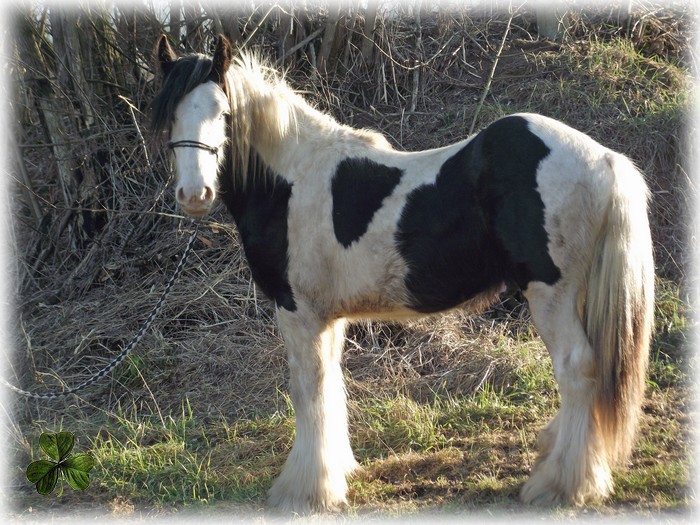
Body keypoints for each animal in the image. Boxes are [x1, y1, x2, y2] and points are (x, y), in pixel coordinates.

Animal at [150, 33, 652, 512]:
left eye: (223, 112)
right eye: (171, 116)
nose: (194, 195)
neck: (291, 180)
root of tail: (605, 160)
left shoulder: (299, 312)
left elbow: (308, 391)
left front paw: (304, 491)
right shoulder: (327, 318)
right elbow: (331, 384)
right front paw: (337, 473)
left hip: (551, 293)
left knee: (577, 368)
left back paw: (560, 485)